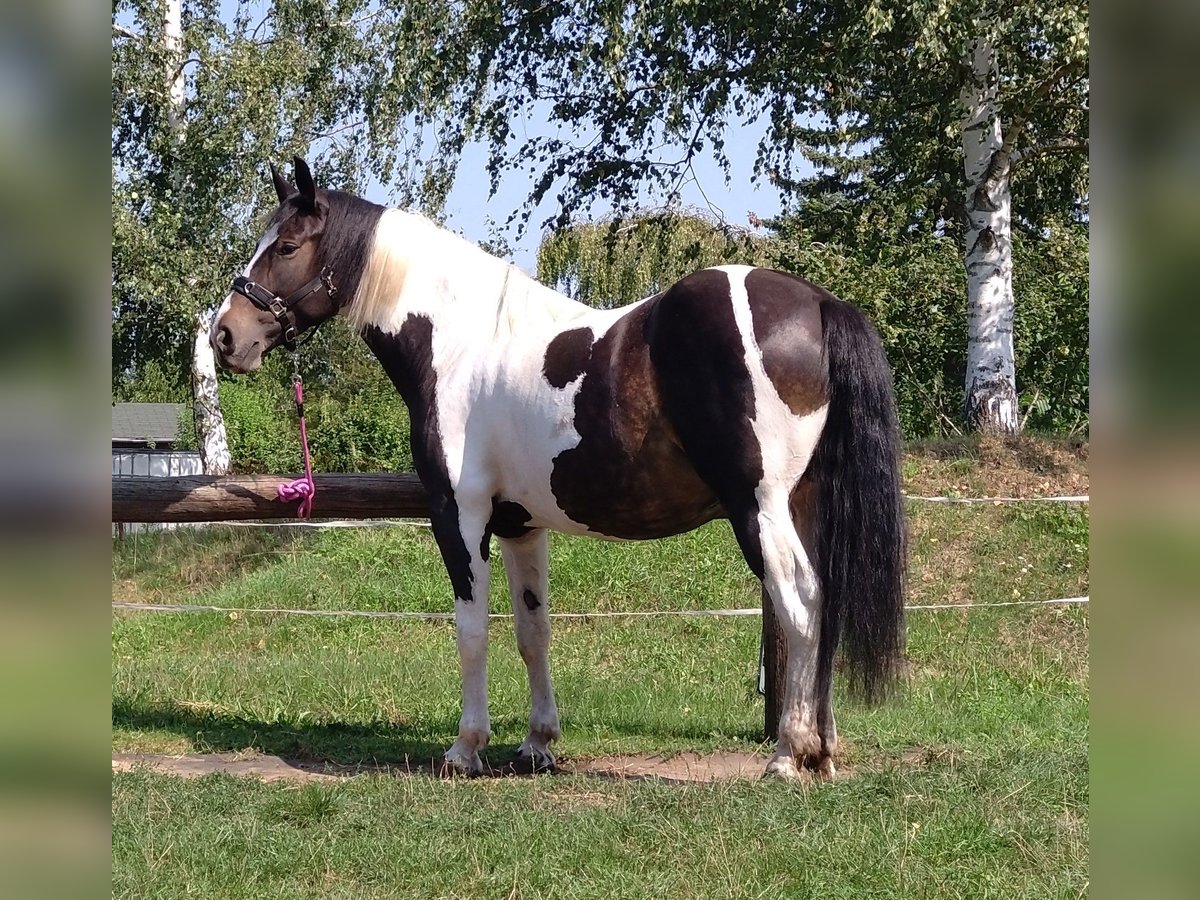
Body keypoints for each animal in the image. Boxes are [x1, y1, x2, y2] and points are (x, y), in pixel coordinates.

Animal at [211, 158, 902, 777]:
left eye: (287, 246)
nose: (225, 335)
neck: (462, 344)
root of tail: (818, 303)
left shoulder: (458, 515)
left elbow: (472, 628)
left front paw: (466, 748)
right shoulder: (521, 525)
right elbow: (531, 629)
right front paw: (538, 742)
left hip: (759, 507)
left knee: (801, 602)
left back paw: (788, 752)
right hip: (804, 503)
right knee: (826, 603)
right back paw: (824, 749)